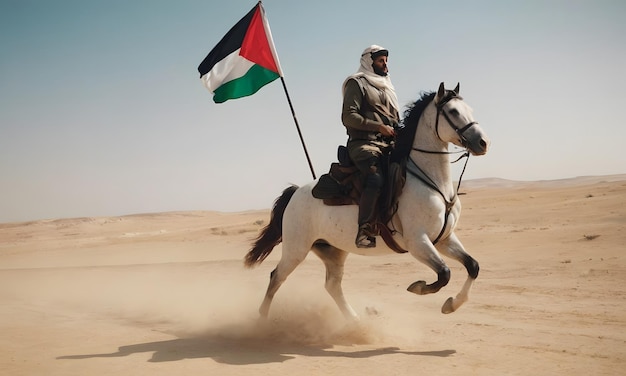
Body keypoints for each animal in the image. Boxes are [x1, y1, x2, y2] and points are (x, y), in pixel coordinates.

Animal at [244, 81, 488, 318]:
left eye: (469, 109)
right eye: (453, 111)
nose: (483, 142)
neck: (434, 183)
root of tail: (295, 193)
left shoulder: (444, 239)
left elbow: (473, 266)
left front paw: (452, 304)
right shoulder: (418, 242)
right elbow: (444, 273)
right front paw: (418, 287)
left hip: (333, 252)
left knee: (332, 285)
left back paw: (356, 322)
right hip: (296, 249)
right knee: (277, 277)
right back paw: (262, 319)